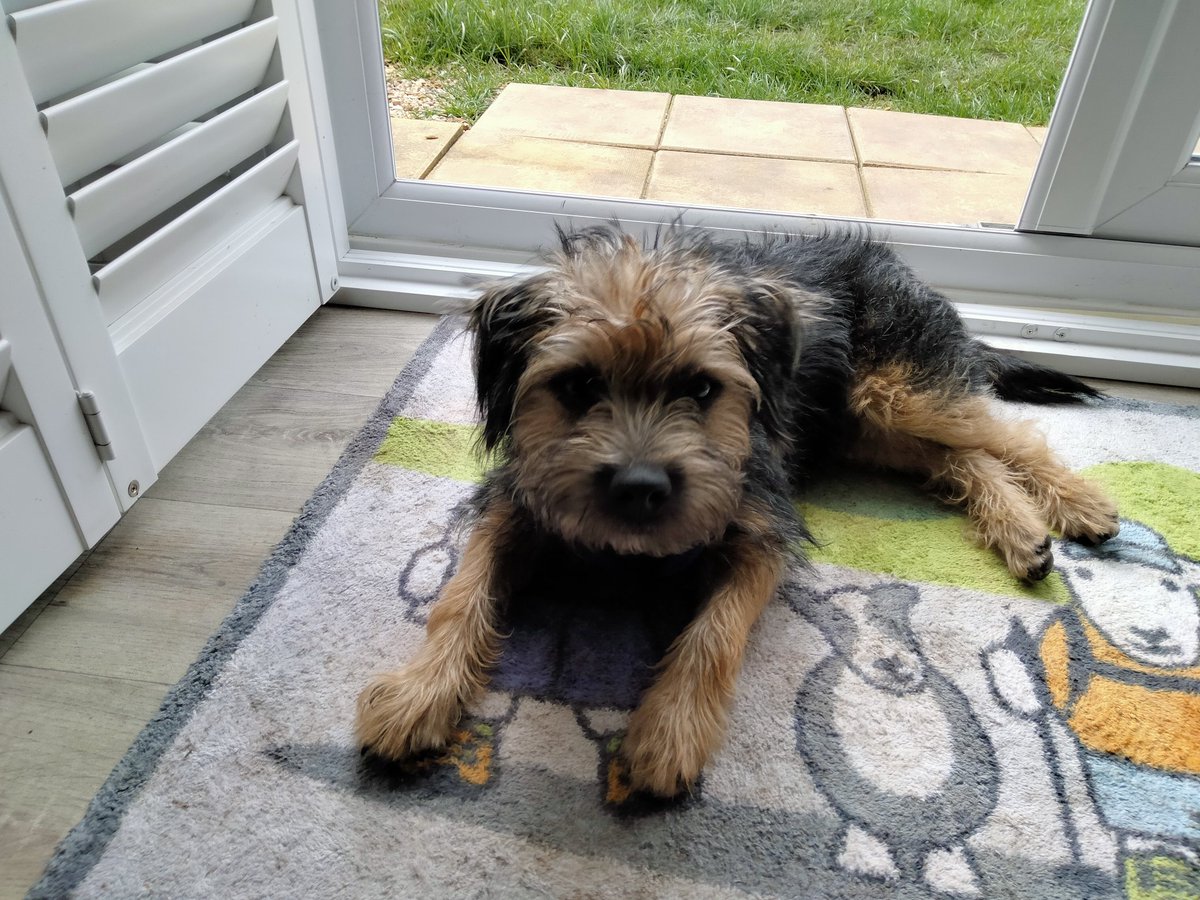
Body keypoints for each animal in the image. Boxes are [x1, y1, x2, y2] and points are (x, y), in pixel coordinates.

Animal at [352, 224, 1113, 796]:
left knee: (1003, 435)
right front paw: (420, 693)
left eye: (700, 387)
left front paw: (669, 734)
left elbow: (714, 634)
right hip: (865, 426)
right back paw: (1022, 532)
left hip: (897, 393)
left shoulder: (758, 532)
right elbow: (462, 594)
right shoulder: (516, 510)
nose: (639, 487)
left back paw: (1081, 505)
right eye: (576, 385)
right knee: (962, 457)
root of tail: (896, 263)